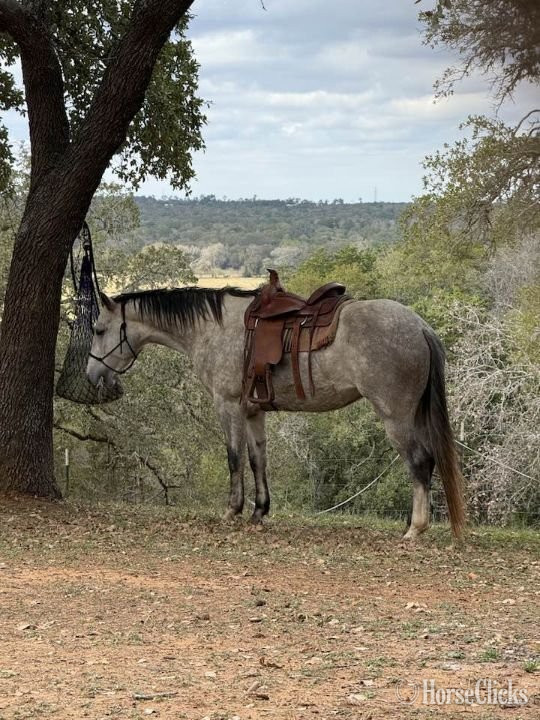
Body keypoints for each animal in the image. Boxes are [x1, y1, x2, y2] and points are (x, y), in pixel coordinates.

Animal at [86, 286, 465, 539]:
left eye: (99, 330)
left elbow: (234, 458)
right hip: (414, 415)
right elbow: (258, 460)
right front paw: (259, 511)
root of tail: (419, 326)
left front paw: (232, 510)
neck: (214, 328)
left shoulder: (227, 405)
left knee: (420, 461)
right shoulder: (254, 411)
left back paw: (415, 529)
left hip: (395, 417)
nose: (92, 376)